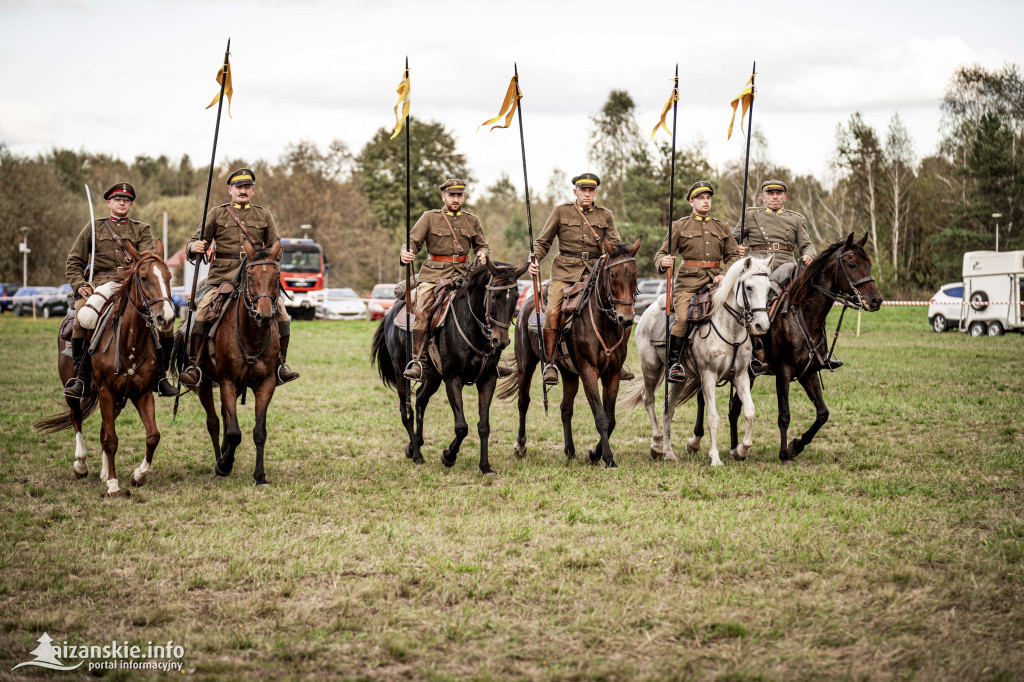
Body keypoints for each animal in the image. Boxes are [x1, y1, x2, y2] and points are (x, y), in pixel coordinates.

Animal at [36, 241, 176, 497]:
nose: (167, 318)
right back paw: (81, 465)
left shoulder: (141, 394)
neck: (129, 342)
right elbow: (111, 439)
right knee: (77, 419)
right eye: (143, 277)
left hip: (118, 399)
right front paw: (113, 484)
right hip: (74, 390)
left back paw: (102, 471)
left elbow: (152, 436)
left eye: (169, 276)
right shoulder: (106, 392)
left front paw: (138, 475)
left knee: (102, 429)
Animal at [173, 238, 282, 483]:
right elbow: (233, 432)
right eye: (250, 276)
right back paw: (219, 461)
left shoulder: (266, 383)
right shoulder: (228, 382)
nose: (264, 315)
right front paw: (224, 464)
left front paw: (260, 475)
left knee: (223, 417)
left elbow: (259, 431)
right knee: (214, 422)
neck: (251, 335)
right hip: (204, 383)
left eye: (277, 276)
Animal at [370, 259, 528, 473]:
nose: (500, 341)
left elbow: (484, 426)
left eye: (517, 297)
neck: (471, 326)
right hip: (401, 373)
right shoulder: (453, 379)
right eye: (495, 296)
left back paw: (414, 445)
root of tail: (391, 313)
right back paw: (417, 455)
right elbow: (461, 427)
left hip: (433, 376)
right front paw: (448, 455)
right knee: (407, 412)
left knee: (420, 399)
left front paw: (485, 466)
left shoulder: (488, 379)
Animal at [618, 254, 770, 462]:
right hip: (650, 368)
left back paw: (669, 452)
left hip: (680, 379)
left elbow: (749, 411)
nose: (762, 325)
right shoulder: (708, 376)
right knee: (648, 399)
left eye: (769, 288)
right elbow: (713, 417)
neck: (729, 329)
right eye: (748, 287)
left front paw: (742, 449)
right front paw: (715, 458)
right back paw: (657, 445)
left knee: (668, 409)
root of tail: (649, 309)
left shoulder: (741, 376)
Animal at [724, 231, 884, 458]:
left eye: (869, 264)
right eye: (852, 264)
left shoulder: (808, 373)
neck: (803, 315)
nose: (876, 300)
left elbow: (823, 414)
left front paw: (796, 445)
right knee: (729, 408)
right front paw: (784, 453)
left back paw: (736, 449)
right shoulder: (783, 372)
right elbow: (784, 415)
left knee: (735, 409)